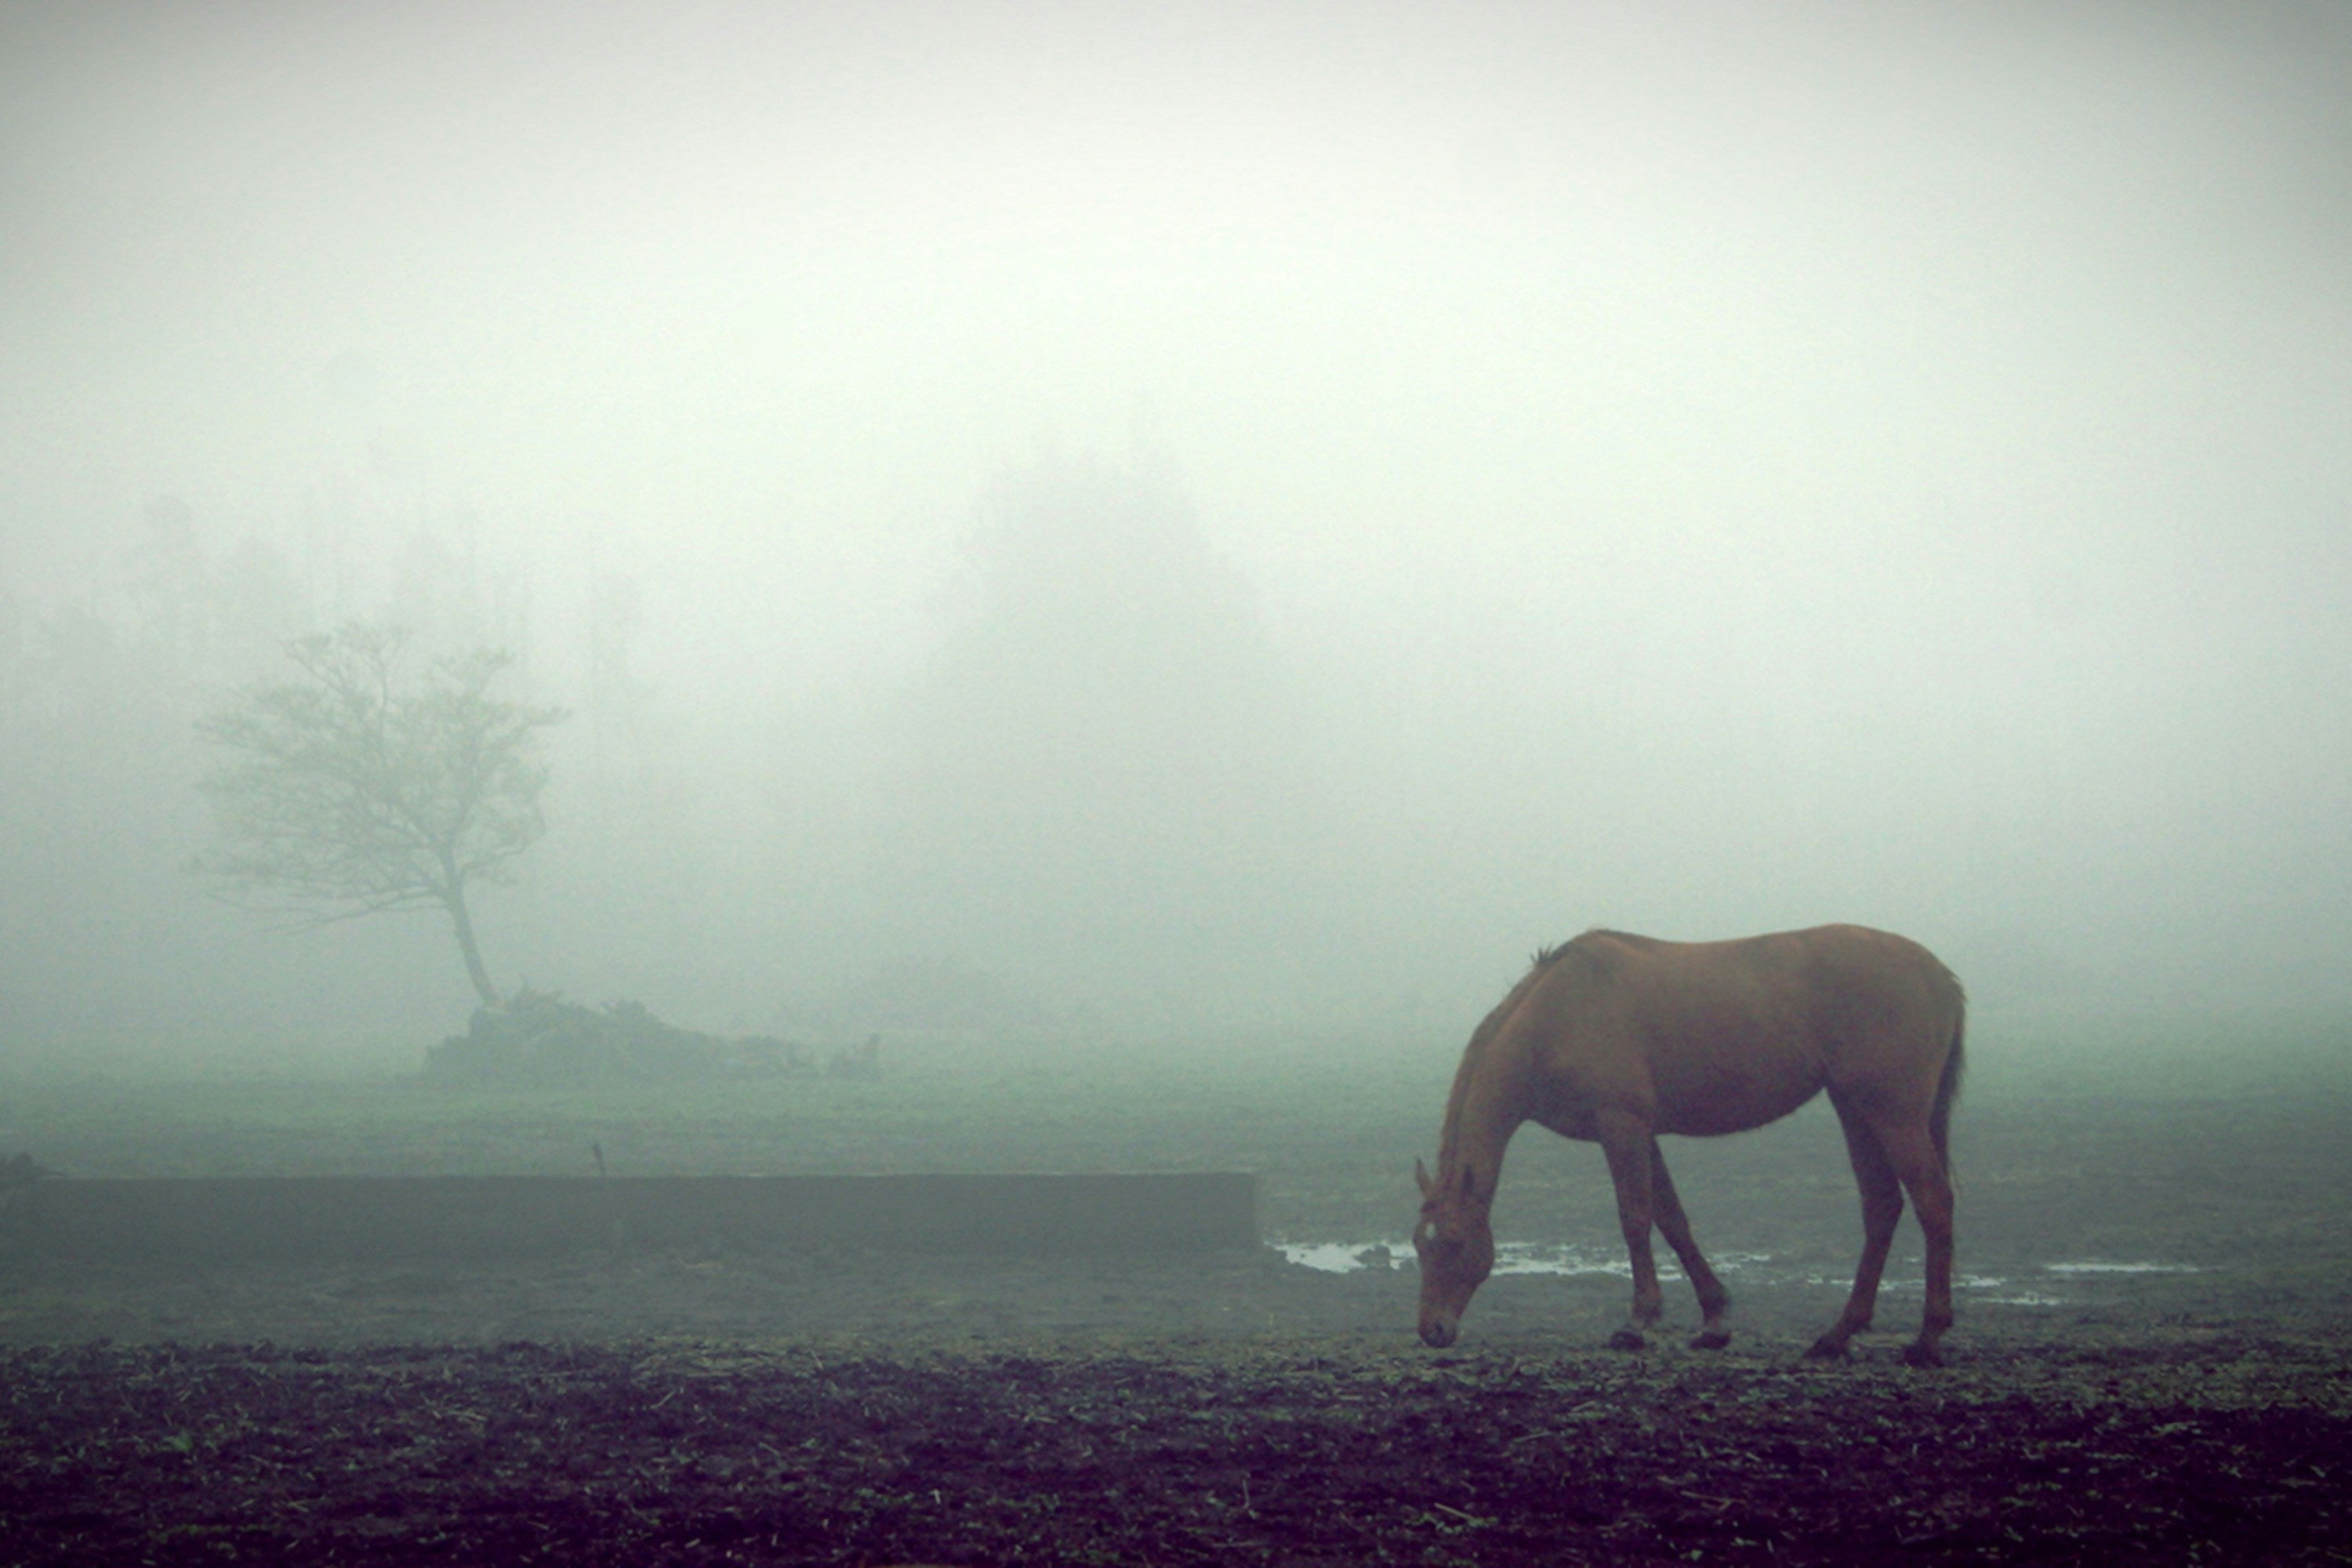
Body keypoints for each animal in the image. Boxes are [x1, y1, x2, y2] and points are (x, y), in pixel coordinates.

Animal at [1414, 924, 1965, 1365]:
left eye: (1455, 1242)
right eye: (1420, 1244)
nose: (1432, 1331)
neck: (1557, 1015)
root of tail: (1939, 974)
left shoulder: (1622, 1128)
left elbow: (1635, 1219)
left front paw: (1636, 1324)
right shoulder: (1644, 1134)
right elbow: (1672, 1220)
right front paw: (1715, 1322)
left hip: (1893, 1115)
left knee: (1933, 1202)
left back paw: (1927, 1338)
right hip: (1855, 1108)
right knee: (1882, 1206)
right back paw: (1837, 1335)